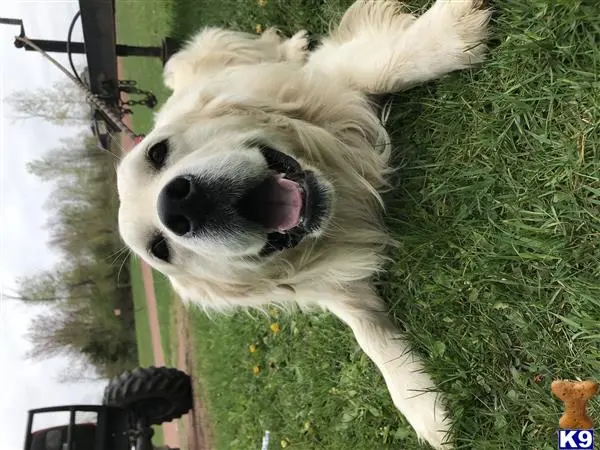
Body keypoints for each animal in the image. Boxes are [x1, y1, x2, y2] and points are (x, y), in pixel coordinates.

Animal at [118, 1, 492, 448]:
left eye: (157, 152)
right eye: (160, 248)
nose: (180, 206)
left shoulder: (317, 86)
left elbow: (380, 64)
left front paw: (449, 33)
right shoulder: (332, 277)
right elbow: (369, 336)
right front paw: (425, 404)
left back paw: (290, 46)